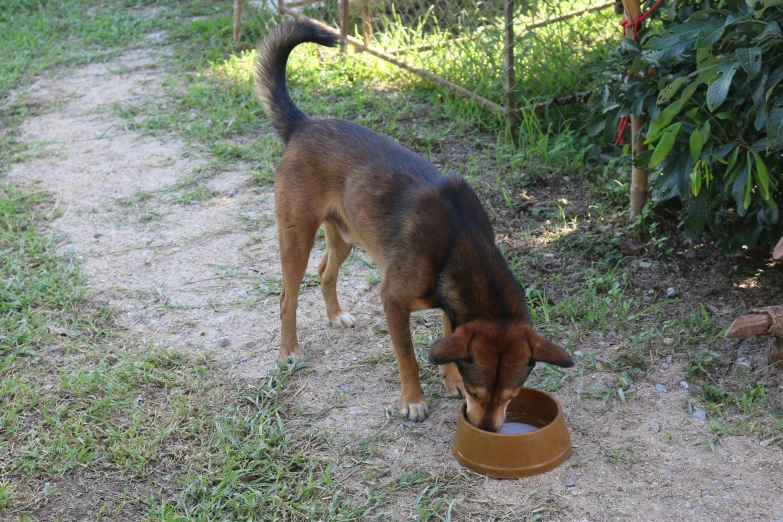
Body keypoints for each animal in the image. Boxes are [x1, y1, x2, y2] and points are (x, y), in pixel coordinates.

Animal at [254, 19, 572, 430]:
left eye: (511, 396)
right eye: (478, 393)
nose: (486, 430)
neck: (459, 238)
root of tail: (303, 126)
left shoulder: (453, 311)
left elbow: (447, 341)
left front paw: (450, 380)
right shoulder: (393, 301)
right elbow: (408, 357)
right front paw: (413, 401)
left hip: (345, 236)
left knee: (325, 271)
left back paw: (335, 315)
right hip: (297, 237)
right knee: (286, 296)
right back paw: (290, 350)